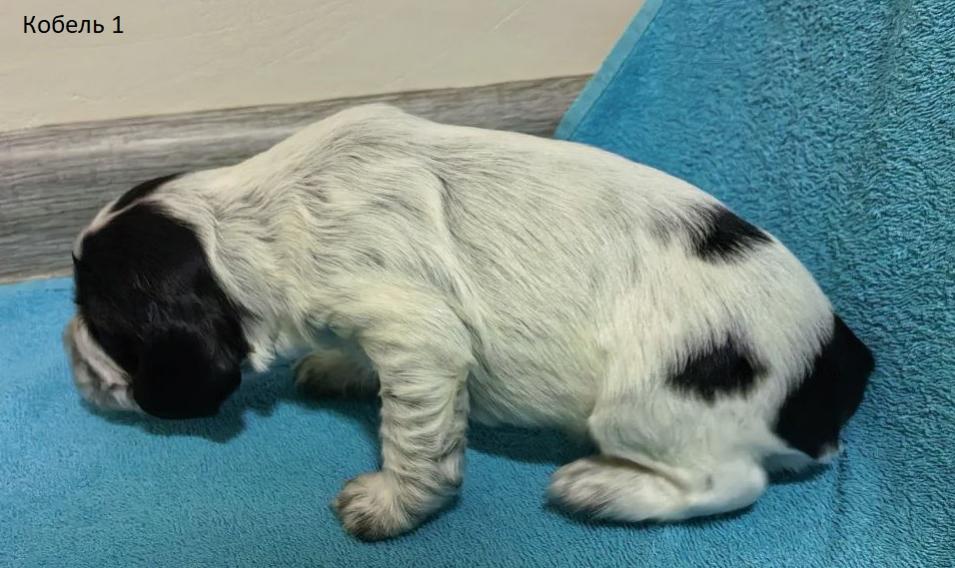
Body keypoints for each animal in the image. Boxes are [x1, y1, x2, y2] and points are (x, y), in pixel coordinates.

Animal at [64, 104, 874, 540]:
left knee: (731, 480)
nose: (68, 358)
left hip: (648, 405)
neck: (255, 219)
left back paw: (602, 489)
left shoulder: (418, 336)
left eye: (100, 317)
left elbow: (415, 445)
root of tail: (837, 360)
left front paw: (387, 505)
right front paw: (340, 369)